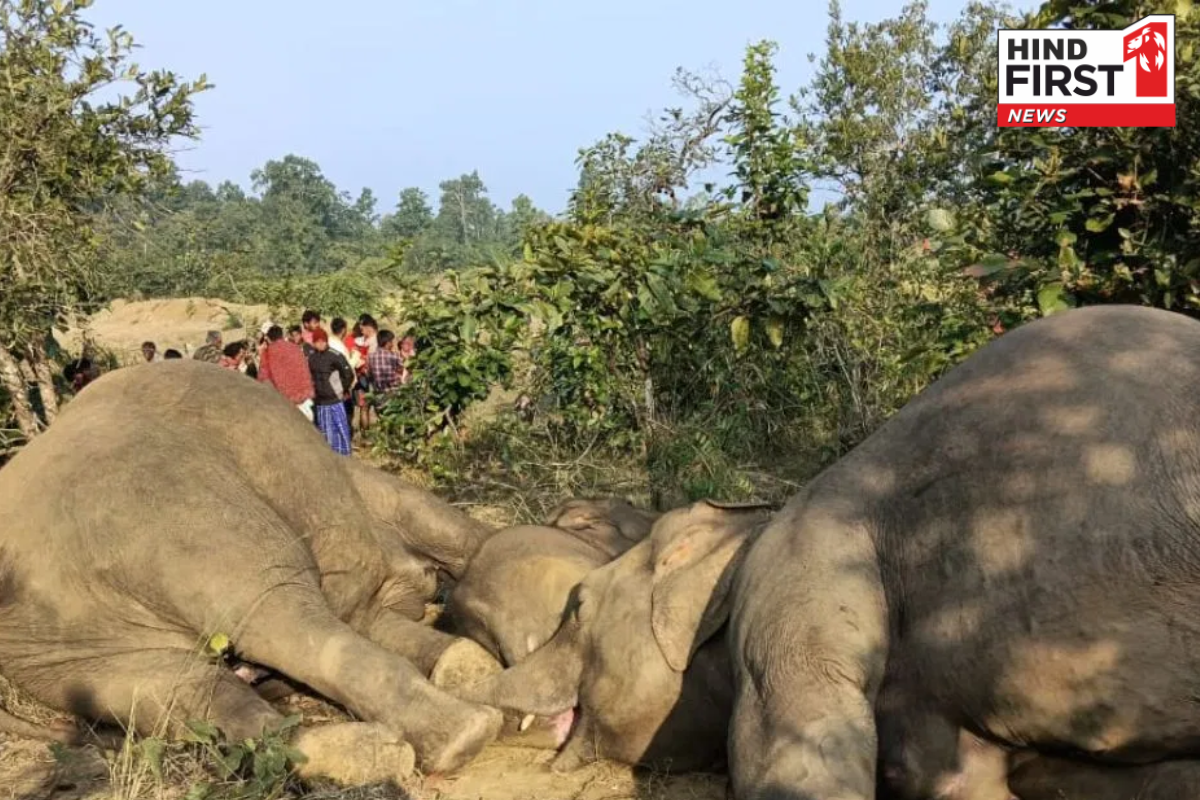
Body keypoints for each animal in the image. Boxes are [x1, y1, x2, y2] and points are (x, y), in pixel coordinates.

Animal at [0, 362, 506, 786]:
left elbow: (377, 616)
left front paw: (460, 661)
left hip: (56, 647)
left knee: (171, 687)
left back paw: (357, 755)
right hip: (174, 512)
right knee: (274, 614)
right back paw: (461, 737)